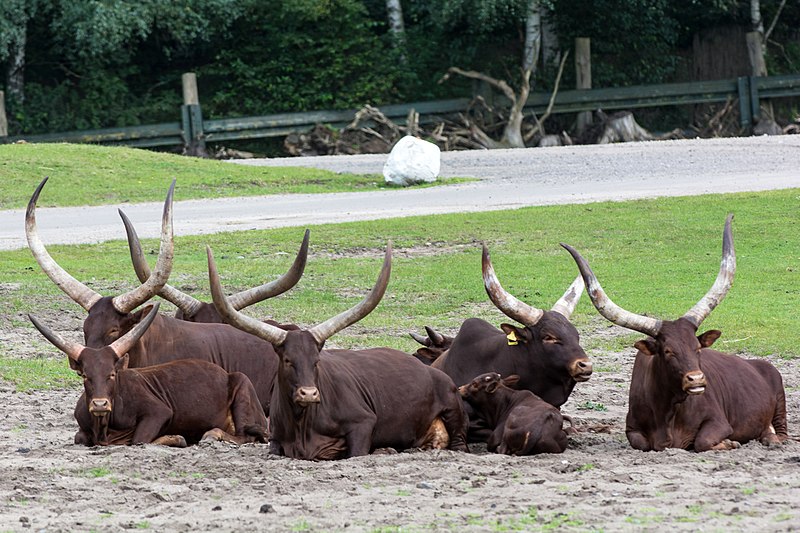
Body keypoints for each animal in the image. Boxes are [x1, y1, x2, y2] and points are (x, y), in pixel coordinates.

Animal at [31, 304, 268, 444]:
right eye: (85, 376)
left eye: (112, 374)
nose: (100, 404)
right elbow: (79, 437)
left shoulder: (158, 411)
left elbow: (139, 439)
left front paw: (174, 438)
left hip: (243, 389)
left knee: (244, 436)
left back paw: (212, 434)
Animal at [208, 243, 468, 460]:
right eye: (287, 360)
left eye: (316, 361)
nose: (309, 394)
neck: (302, 423)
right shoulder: (275, 440)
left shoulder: (362, 423)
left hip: (453, 412)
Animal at [564, 214, 788, 450]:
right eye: (668, 351)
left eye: (697, 348)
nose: (696, 379)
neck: (670, 411)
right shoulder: (632, 429)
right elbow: (643, 444)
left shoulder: (719, 422)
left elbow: (702, 441)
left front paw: (729, 442)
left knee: (780, 432)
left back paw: (771, 438)